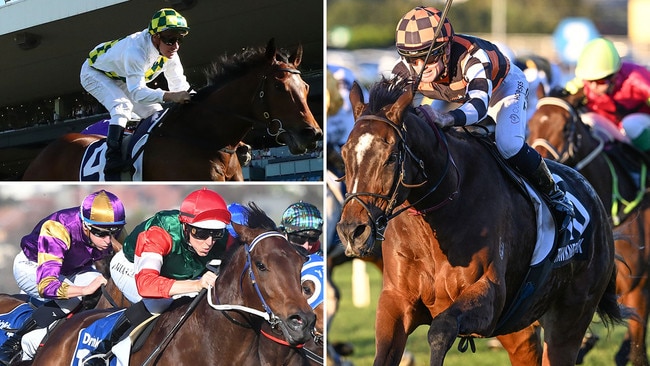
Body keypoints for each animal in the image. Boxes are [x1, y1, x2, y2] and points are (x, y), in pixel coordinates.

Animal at [21, 38, 320, 182]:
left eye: (306, 86)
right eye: (279, 87)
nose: (312, 134)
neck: (202, 137)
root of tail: (43, 154)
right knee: (121, 106)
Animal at [334, 76, 624, 364]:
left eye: (391, 157)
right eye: (344, 154)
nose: (351, 231)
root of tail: (594, 198)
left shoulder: (488, 295)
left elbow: (441, 329)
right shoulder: (395, 301)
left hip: (570, 317)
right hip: (519, 329)